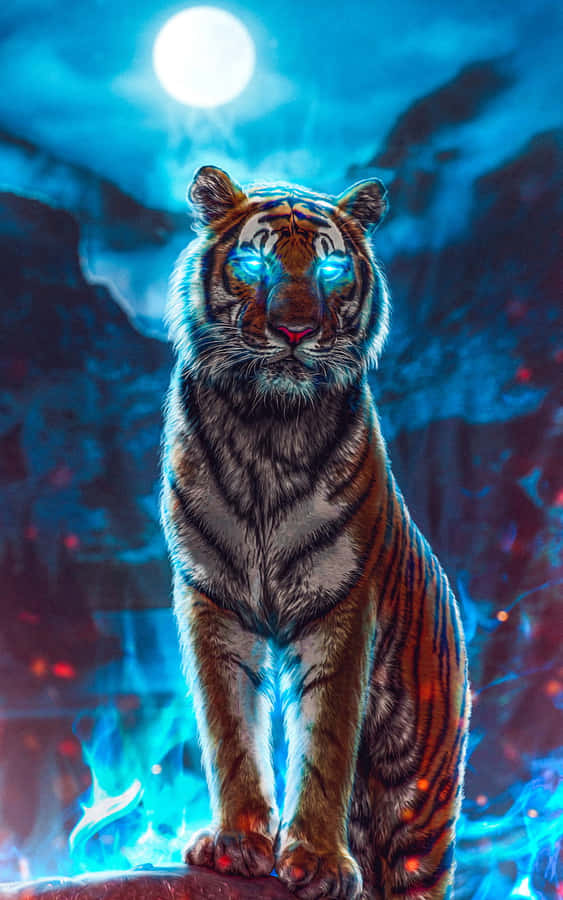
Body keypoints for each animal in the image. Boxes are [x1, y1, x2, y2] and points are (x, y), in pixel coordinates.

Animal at [160, 165, 470, 900]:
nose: (295, 330)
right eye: (254, 263)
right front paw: (235, 846)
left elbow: (325, 737)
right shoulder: (211, 598)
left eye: (331, 267)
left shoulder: (341, 601)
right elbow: (229, 731)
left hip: (420, 804)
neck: (267, 426)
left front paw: (320, 864)